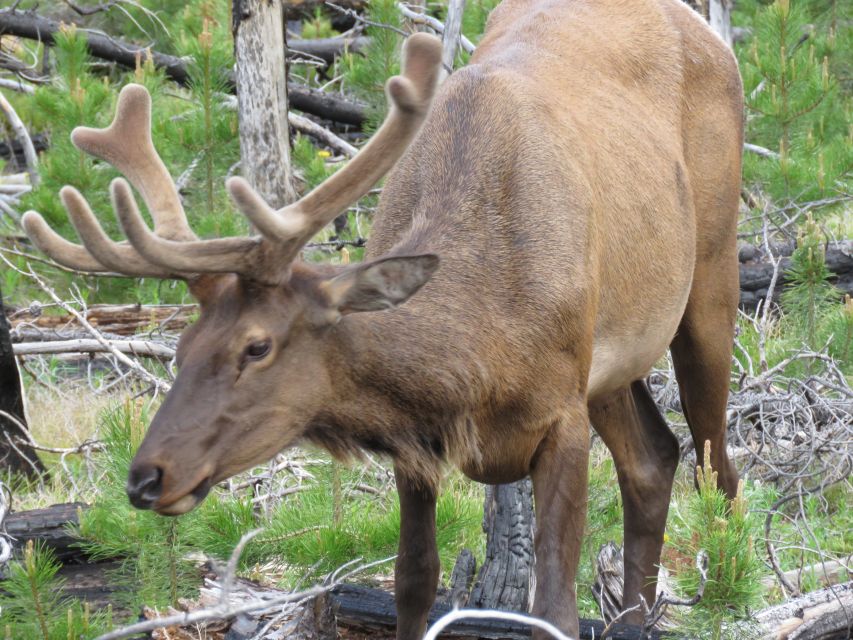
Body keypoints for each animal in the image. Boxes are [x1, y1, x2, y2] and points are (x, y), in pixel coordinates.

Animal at [23, 1, 744, 636]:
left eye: (257, 346)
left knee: (718, 469)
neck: (485, 352)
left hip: (709, 272)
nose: (147, 476)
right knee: (653, 459)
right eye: (180, 349)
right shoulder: (416, 442)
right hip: (611, 365)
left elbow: (554, 610)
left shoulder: (561, 413)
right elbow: (413, 581)